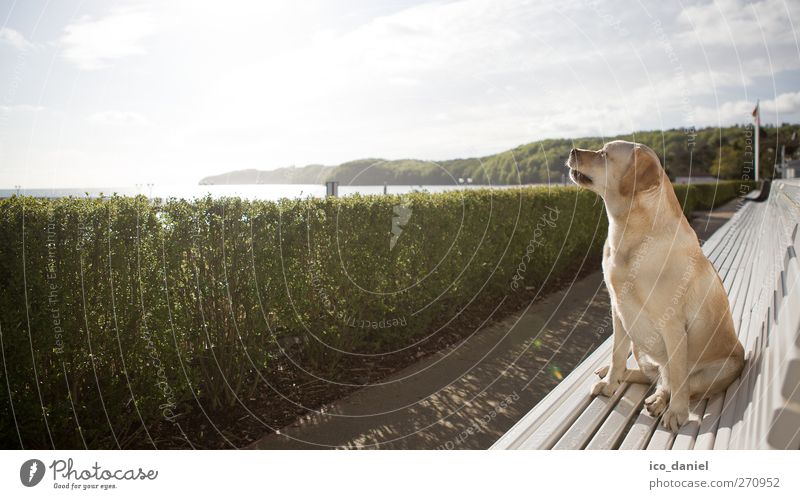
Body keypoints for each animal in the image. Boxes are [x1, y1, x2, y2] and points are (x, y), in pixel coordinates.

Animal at [568, 142, 744, 434]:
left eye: (604, 154)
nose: (572, 151)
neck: (629, 233)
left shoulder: (672, 324)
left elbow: (679, 381)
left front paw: (677, 413)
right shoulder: (618, 311)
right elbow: (617, 354)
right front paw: (610, 383)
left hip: (719, 368)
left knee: (675, 383)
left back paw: (661, 402)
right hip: (639, 344)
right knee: (653, 376)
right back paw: (615, 376)